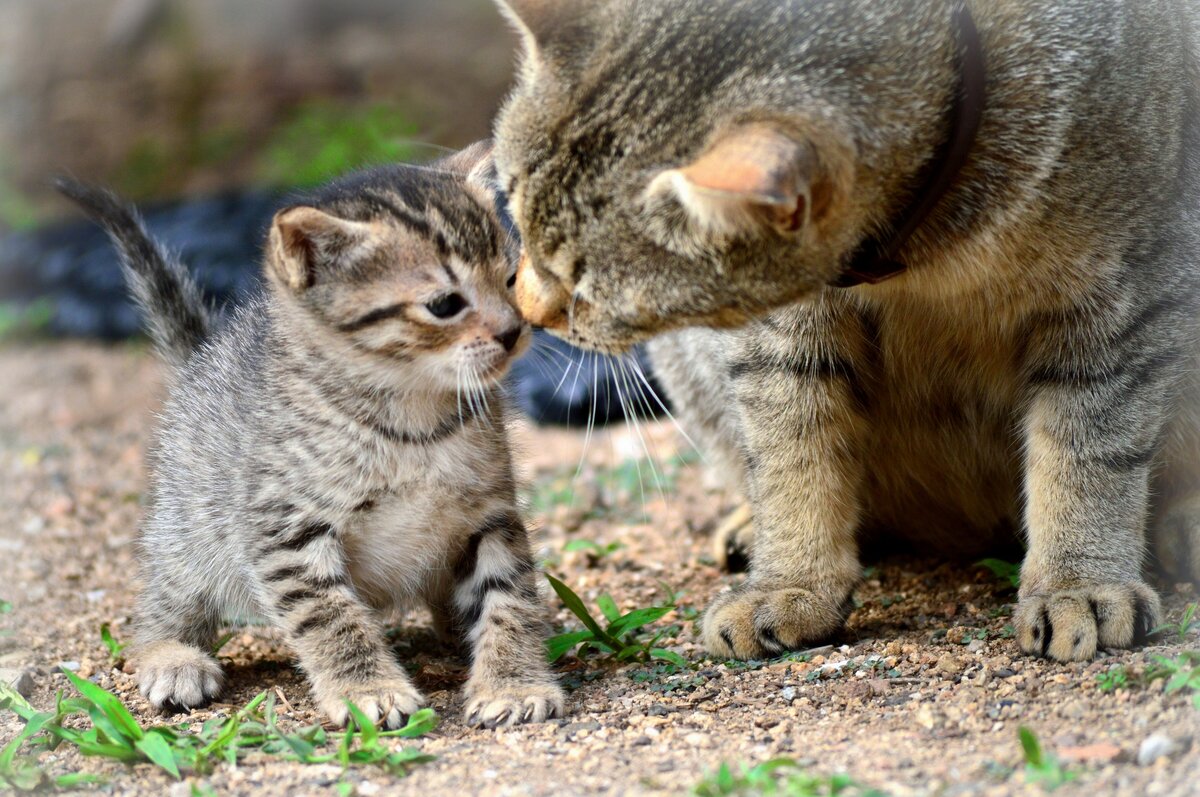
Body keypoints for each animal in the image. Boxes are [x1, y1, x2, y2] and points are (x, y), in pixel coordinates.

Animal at [60, 143, 571, 729]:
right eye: (445, 304)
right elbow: (331, 615)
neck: (412, 420)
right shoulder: (284, 529)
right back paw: (170, 655)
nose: (514, 330)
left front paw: (514, 681)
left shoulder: (490, 514)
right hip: (190, 532)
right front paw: (368, 688)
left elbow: (508, 596)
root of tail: (203, 358)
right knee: (161, 600)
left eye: (511, 280)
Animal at [489, 0, 1200, 662]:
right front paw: (792, 583)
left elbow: (1089, 454)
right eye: (512, 206)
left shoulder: (1121, 298)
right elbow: (793, 453)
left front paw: (1079, 583)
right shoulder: (781, 333)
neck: (924, 253)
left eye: (585, 290)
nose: (525, 306)